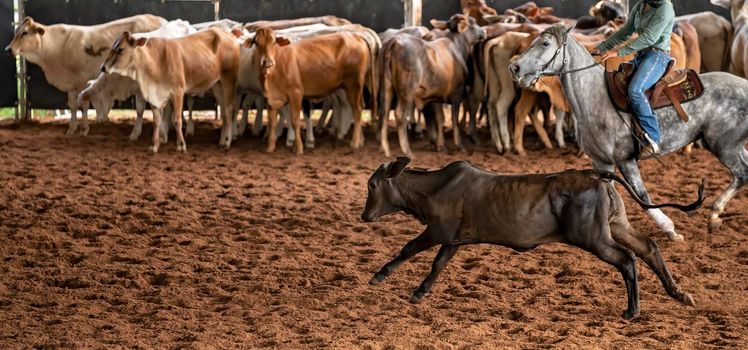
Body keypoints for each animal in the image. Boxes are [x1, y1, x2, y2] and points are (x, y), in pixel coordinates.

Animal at [5, 15, 164, 137]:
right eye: (16, 31)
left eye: (25, 32)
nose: (8, 49)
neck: (54, 47)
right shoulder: (71, 85)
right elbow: (73, 106)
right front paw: (71, 129)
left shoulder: (82, 82)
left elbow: (84, 106)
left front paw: (84, 129)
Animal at [102, 26, 240, 152]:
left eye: (120, 49)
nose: (103, 67)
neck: (157, 62)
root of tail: (229, 34)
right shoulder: (154, 95)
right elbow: (156, 121)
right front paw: (154, 145)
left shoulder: (178, 92)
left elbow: (177, 120)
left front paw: (181, 145)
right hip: (217, 84)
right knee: (223, 110)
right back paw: (222, 141)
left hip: (228, 79)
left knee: (229, 109)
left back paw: (227, 142)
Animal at [248, 26, 372, 154]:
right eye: (257, 43)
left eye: (274, 42)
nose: (268, 62)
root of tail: (356, 37)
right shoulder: (270, 98)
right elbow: (272, 122)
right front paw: (270, 147)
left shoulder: (296, 93)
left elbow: (295, 121)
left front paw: (298, 148)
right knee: (360, 106)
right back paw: (360, 140)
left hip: (354, 84)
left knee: (357, 110)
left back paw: (355, 142)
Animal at [508, 21, 748, 241]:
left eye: (545, 43)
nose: (514, 67)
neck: (594, 96)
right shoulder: (601, 162)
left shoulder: (625, 160)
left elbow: (642, 197)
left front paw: (670, 229)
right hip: (730, 145)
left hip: (723, 145)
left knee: (742, 174)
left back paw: (714, 212)